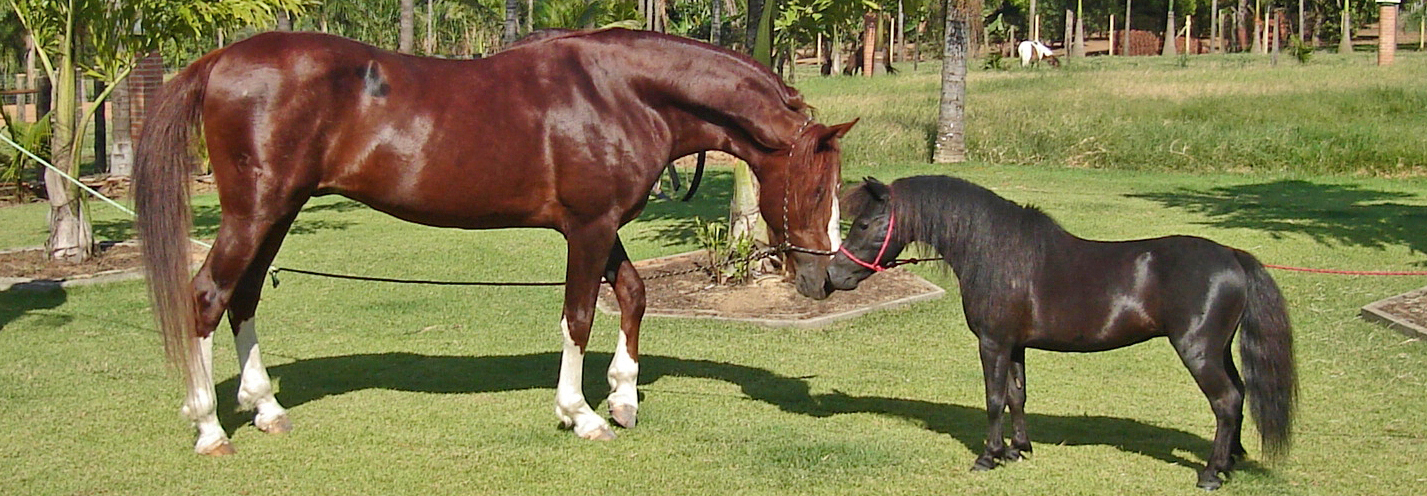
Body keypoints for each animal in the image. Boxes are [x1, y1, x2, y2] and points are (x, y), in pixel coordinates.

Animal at [134, 29, 850, 456]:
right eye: (817, 189)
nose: (823, 281)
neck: (620, 93)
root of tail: (221, 59)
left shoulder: (601, 226)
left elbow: (634, 293)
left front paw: (622, 397)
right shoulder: (588, 227)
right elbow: (580, 316)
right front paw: (580, 413)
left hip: (277, 212)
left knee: (244, 296)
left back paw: (265, 407)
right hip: (254, 211)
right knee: (207, 297)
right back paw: (208, 427)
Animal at [821, 176, 1301, 490]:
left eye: (863, 224)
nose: (832, 276)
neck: (996, 252)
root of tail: (1233, 256)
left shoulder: (992, 343)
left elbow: (993, 398)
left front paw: (987, 457)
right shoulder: (1015, 346)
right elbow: (1016, 395)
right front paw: (1017, 450)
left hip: (1198, 351)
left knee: (1226, 401)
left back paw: (1211, 473)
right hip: (1219, 351)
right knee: (1239, 395)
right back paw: (1230, 463)